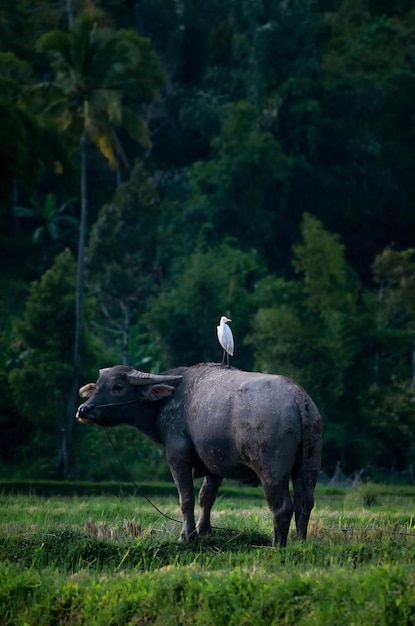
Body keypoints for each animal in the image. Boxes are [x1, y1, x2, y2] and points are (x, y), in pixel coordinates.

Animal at [76, 360, 324, 544]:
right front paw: (204, 530)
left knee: (282, 507)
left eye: (117, 387)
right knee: (305, 502)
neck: (170, 399)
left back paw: (277, 545)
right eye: (97, 385)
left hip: (272, 472)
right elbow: (207, 497)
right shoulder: (213, 464)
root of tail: (299, 399)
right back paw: (299, 542)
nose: (83, 409)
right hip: (308, 466)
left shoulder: (177, 456)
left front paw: (187, 535)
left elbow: (186, 498)